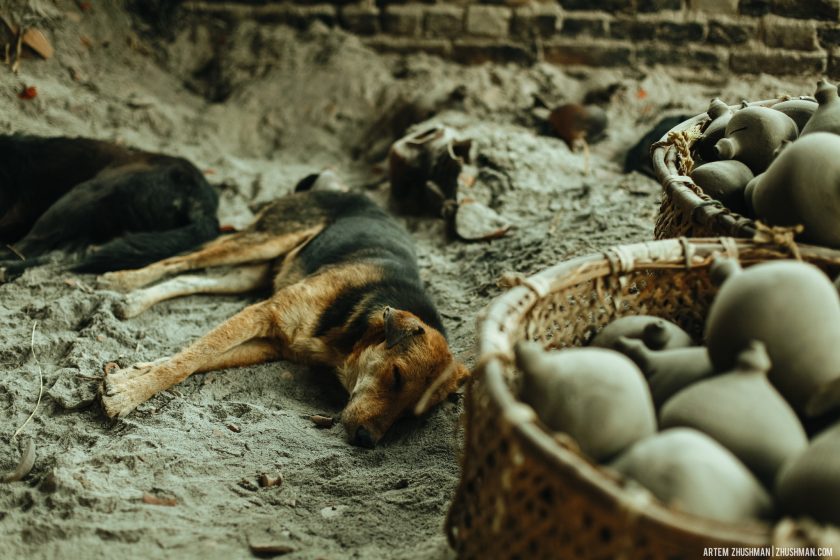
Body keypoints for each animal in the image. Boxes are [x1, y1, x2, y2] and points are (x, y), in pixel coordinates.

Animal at [101, 188, 470, 446]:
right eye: (396, 376)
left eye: (411, 414)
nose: (367, 441)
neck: (353, 334)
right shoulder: (264, 313)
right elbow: (189, 360)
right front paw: (128, 396)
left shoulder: (272, 344)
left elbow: (197, 359)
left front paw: (130, 377)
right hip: (263, 242)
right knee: (181, 260)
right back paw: (121, 280)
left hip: (253, 273)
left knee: (190, 278)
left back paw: (134, 301)